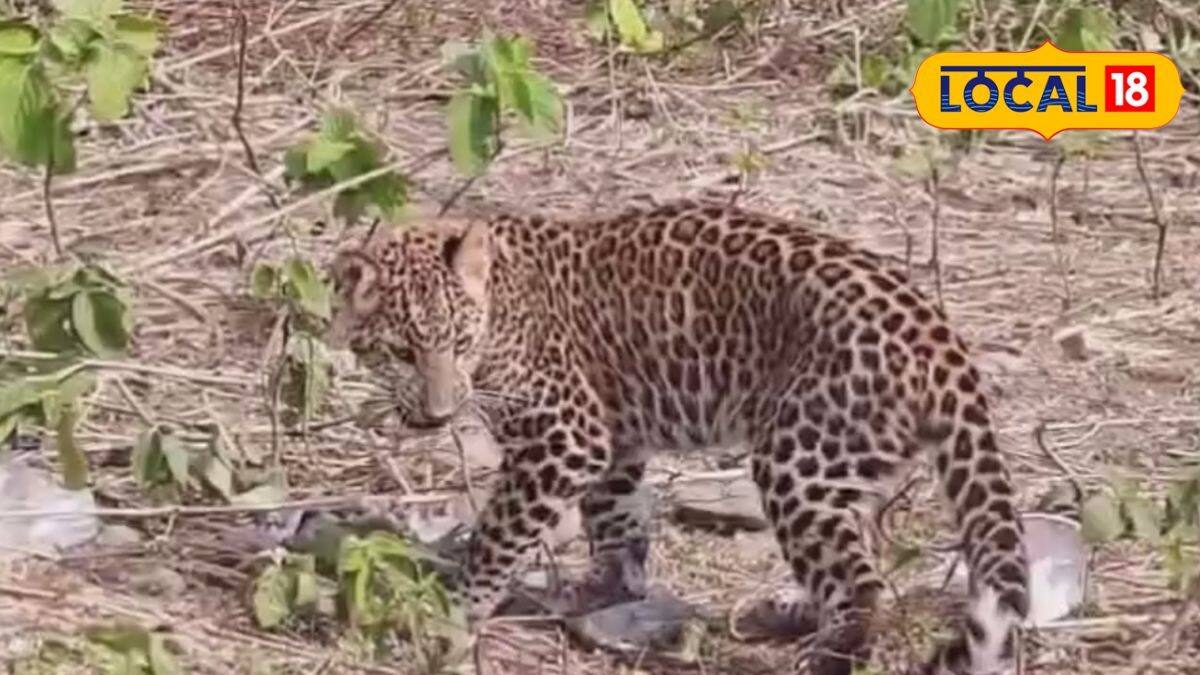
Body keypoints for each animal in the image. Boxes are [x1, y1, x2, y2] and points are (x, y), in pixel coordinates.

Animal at [328, 198, 1030, 675]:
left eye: (460, 343)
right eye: (401, 351)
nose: (439, 414)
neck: (501, 302)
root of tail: (941, 339)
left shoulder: (566, 433)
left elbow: (498, 534)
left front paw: (454, 611)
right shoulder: (611, 437)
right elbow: (615, 517)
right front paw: (602, 588)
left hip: (797, 456)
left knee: (861, 585)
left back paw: (824, 654)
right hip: (843, 464)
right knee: (858, 553)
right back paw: (790, 612)